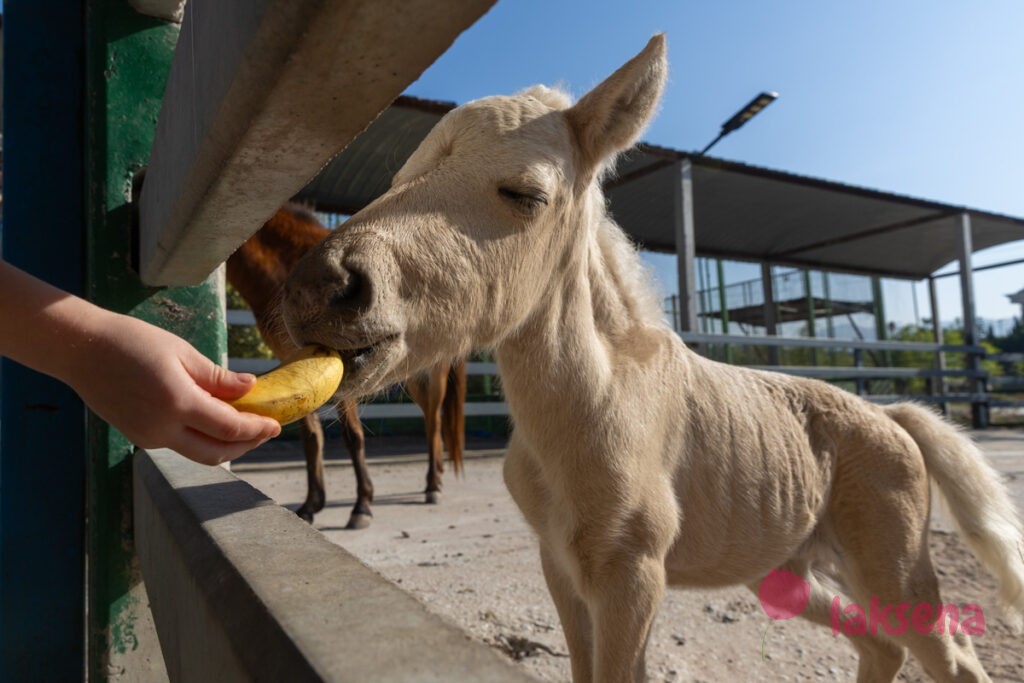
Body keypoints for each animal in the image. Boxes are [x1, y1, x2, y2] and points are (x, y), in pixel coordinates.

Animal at [227, 205, 464, 532]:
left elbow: (352, 436)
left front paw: (362, 505)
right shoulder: (297, 365)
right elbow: (311, 438)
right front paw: (311, 505)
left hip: (433, 372)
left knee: (433, 420)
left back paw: (433, 485)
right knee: (431, 417)